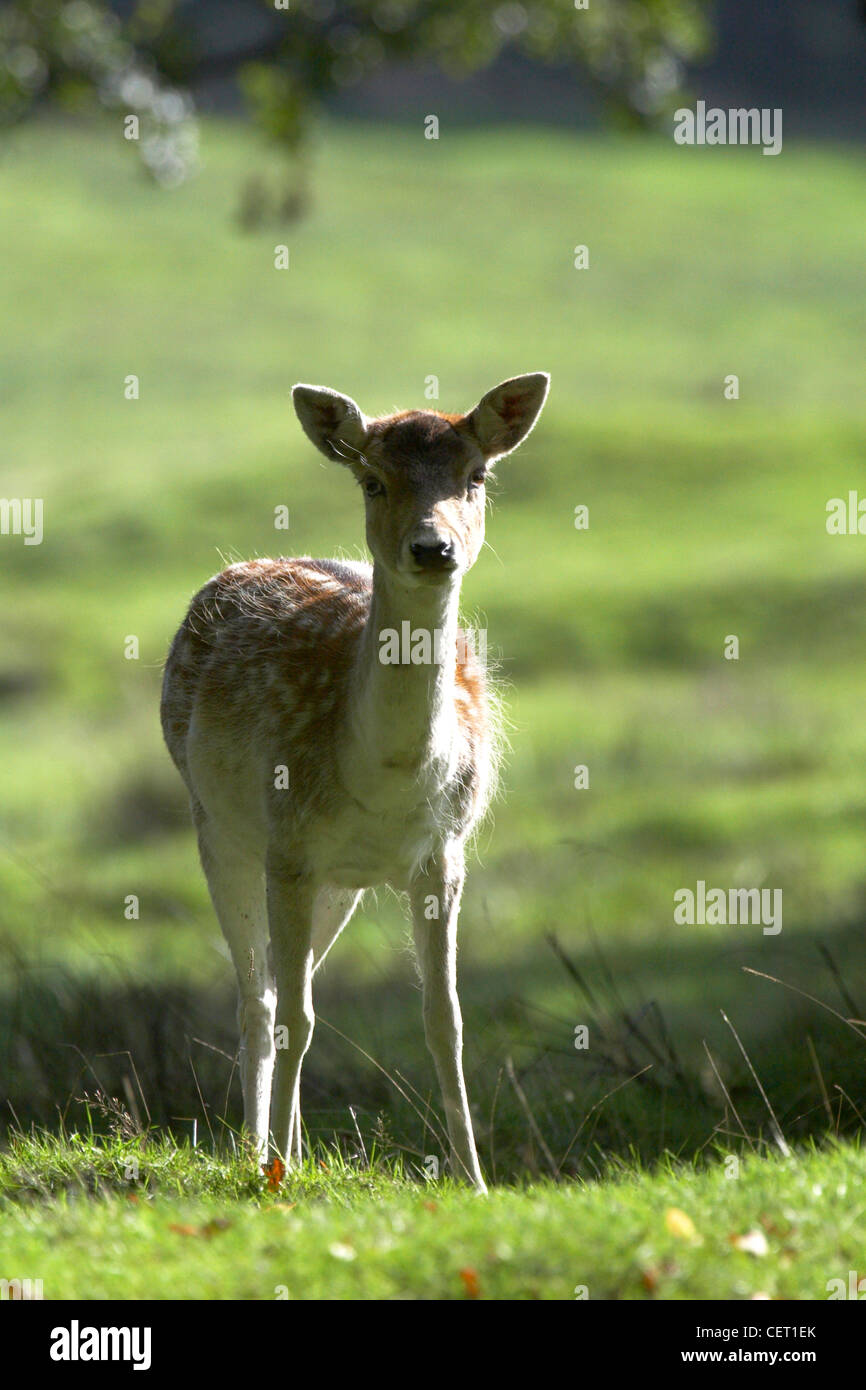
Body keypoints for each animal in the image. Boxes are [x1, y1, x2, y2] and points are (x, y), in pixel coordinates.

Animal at [159, 372, 553, 1195]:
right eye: (372, 480)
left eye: (477, 475)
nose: (433, 547)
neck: (387, 777)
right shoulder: (290, 848)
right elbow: (292, 1013)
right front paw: (272, 1176)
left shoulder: (443, 856)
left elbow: (445, 1019)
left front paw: (474, 1179)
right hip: (219, 828)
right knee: (261, 998)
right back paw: (259, 1150)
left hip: (343, 882)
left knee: (296, 984)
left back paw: (297, 1148)